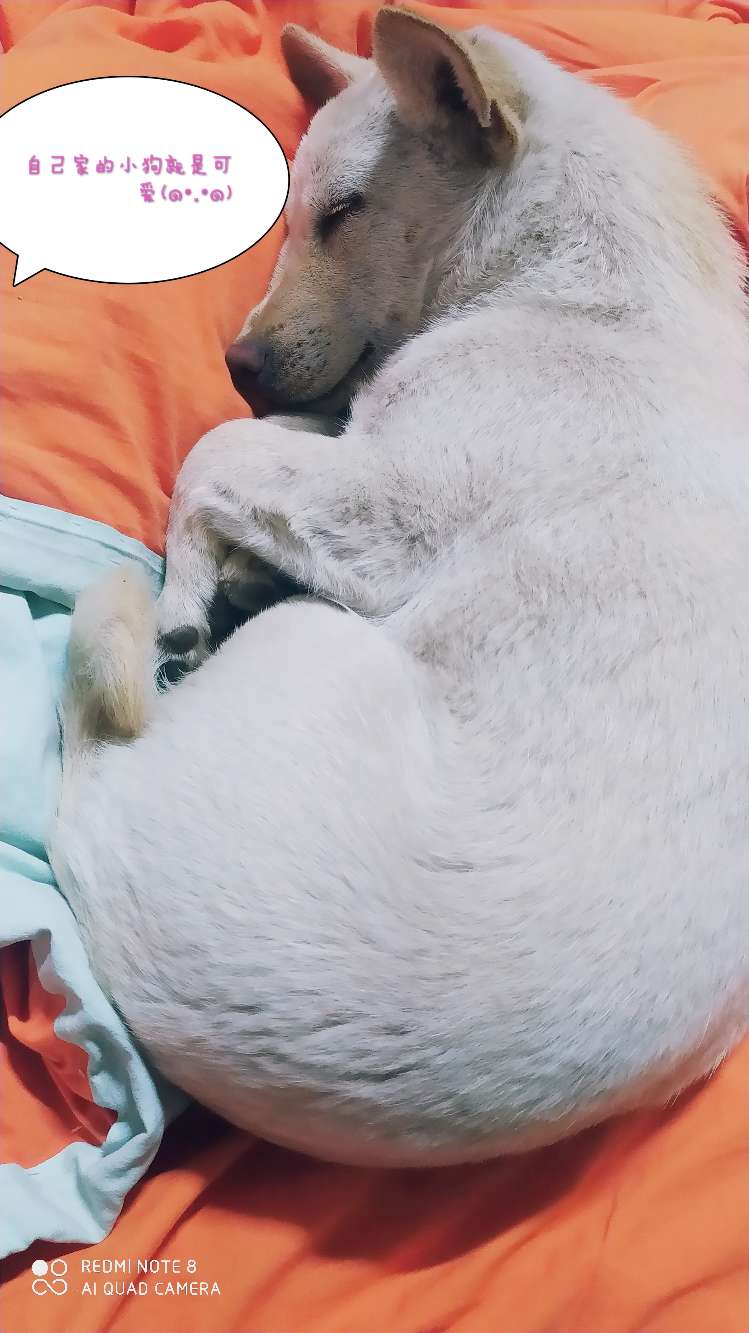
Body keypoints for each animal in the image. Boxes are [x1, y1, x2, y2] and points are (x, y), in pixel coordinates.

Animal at [49, 9, 749, 1167]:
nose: (236, 362)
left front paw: (192, 585)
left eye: (340, 214)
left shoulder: (387, 512)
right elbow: (267, 441)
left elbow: (216, 451)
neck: (571, 284)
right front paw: (230, 555)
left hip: (314, 651)